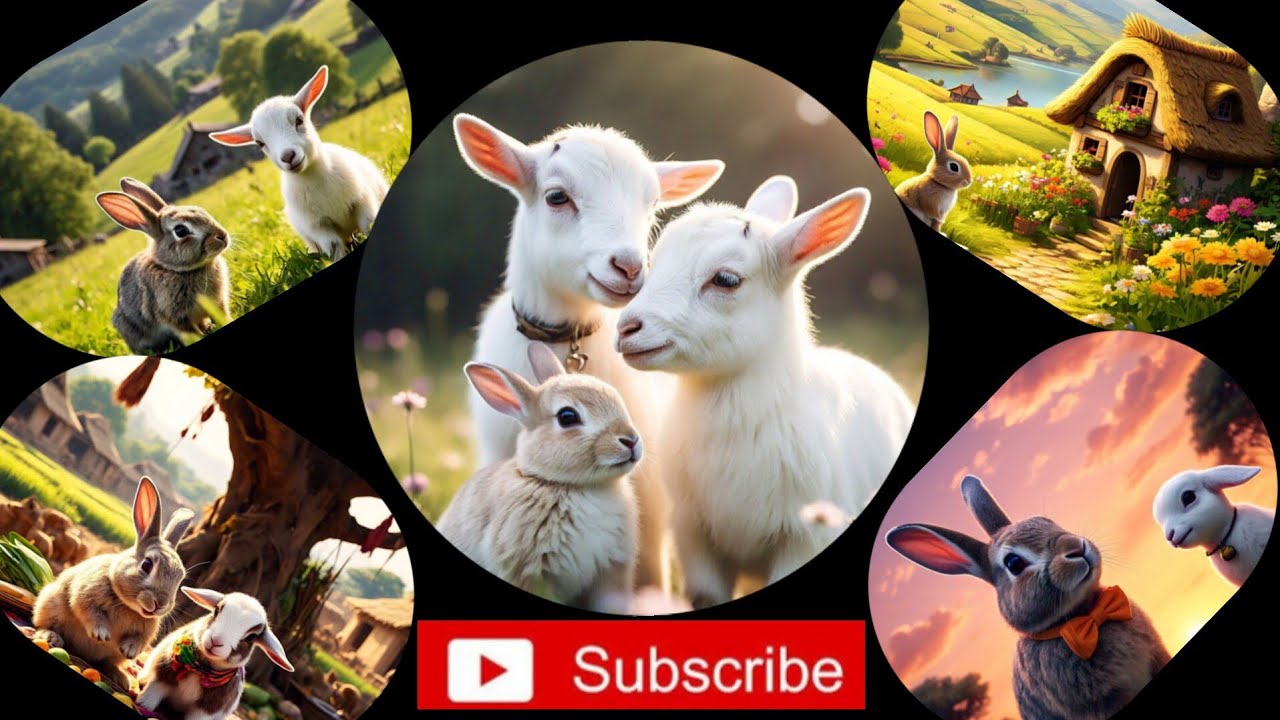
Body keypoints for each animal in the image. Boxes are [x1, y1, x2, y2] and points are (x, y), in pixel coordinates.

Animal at [32, 476, 195, 689]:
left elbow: (138, 640)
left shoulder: (145, 633)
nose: (160, 604)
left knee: (106, 662)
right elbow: (88, 611)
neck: (128, 605)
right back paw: (50, 637)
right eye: (147, 565)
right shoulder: (85, 595)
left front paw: (129, 650)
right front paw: (102, 635)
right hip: (50, 604)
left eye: (180, 578)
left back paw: (121, 678)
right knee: (43, 624)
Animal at [96, 177, 232, 355]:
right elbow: (189, 332)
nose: (222, 236)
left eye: (201, 210)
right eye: (180, 231)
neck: (174, 269)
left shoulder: (218, 302)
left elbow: (221, 314)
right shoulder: (174, 317)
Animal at [136, 588, 293, 720]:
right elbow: (151, 696)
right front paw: (141, 704)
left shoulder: (206, 710)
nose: (216, 640)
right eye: (217, 610)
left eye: (251, 637)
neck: (202, 669)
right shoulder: (162, 676)